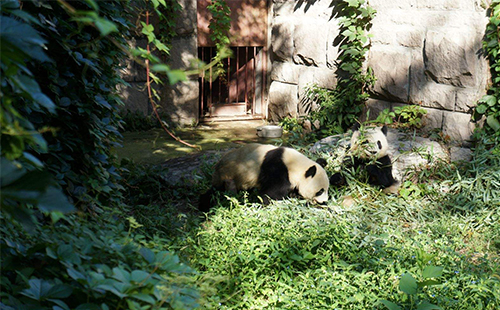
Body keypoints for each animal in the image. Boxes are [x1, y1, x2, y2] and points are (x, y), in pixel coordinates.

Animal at [197, 143, 330, 212]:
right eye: (320, 191)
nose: (324, 201)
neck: (295, 165)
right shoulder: (278, 169)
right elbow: (271, 193)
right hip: (228, 175)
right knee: (217, 193)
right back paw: (203, 206)